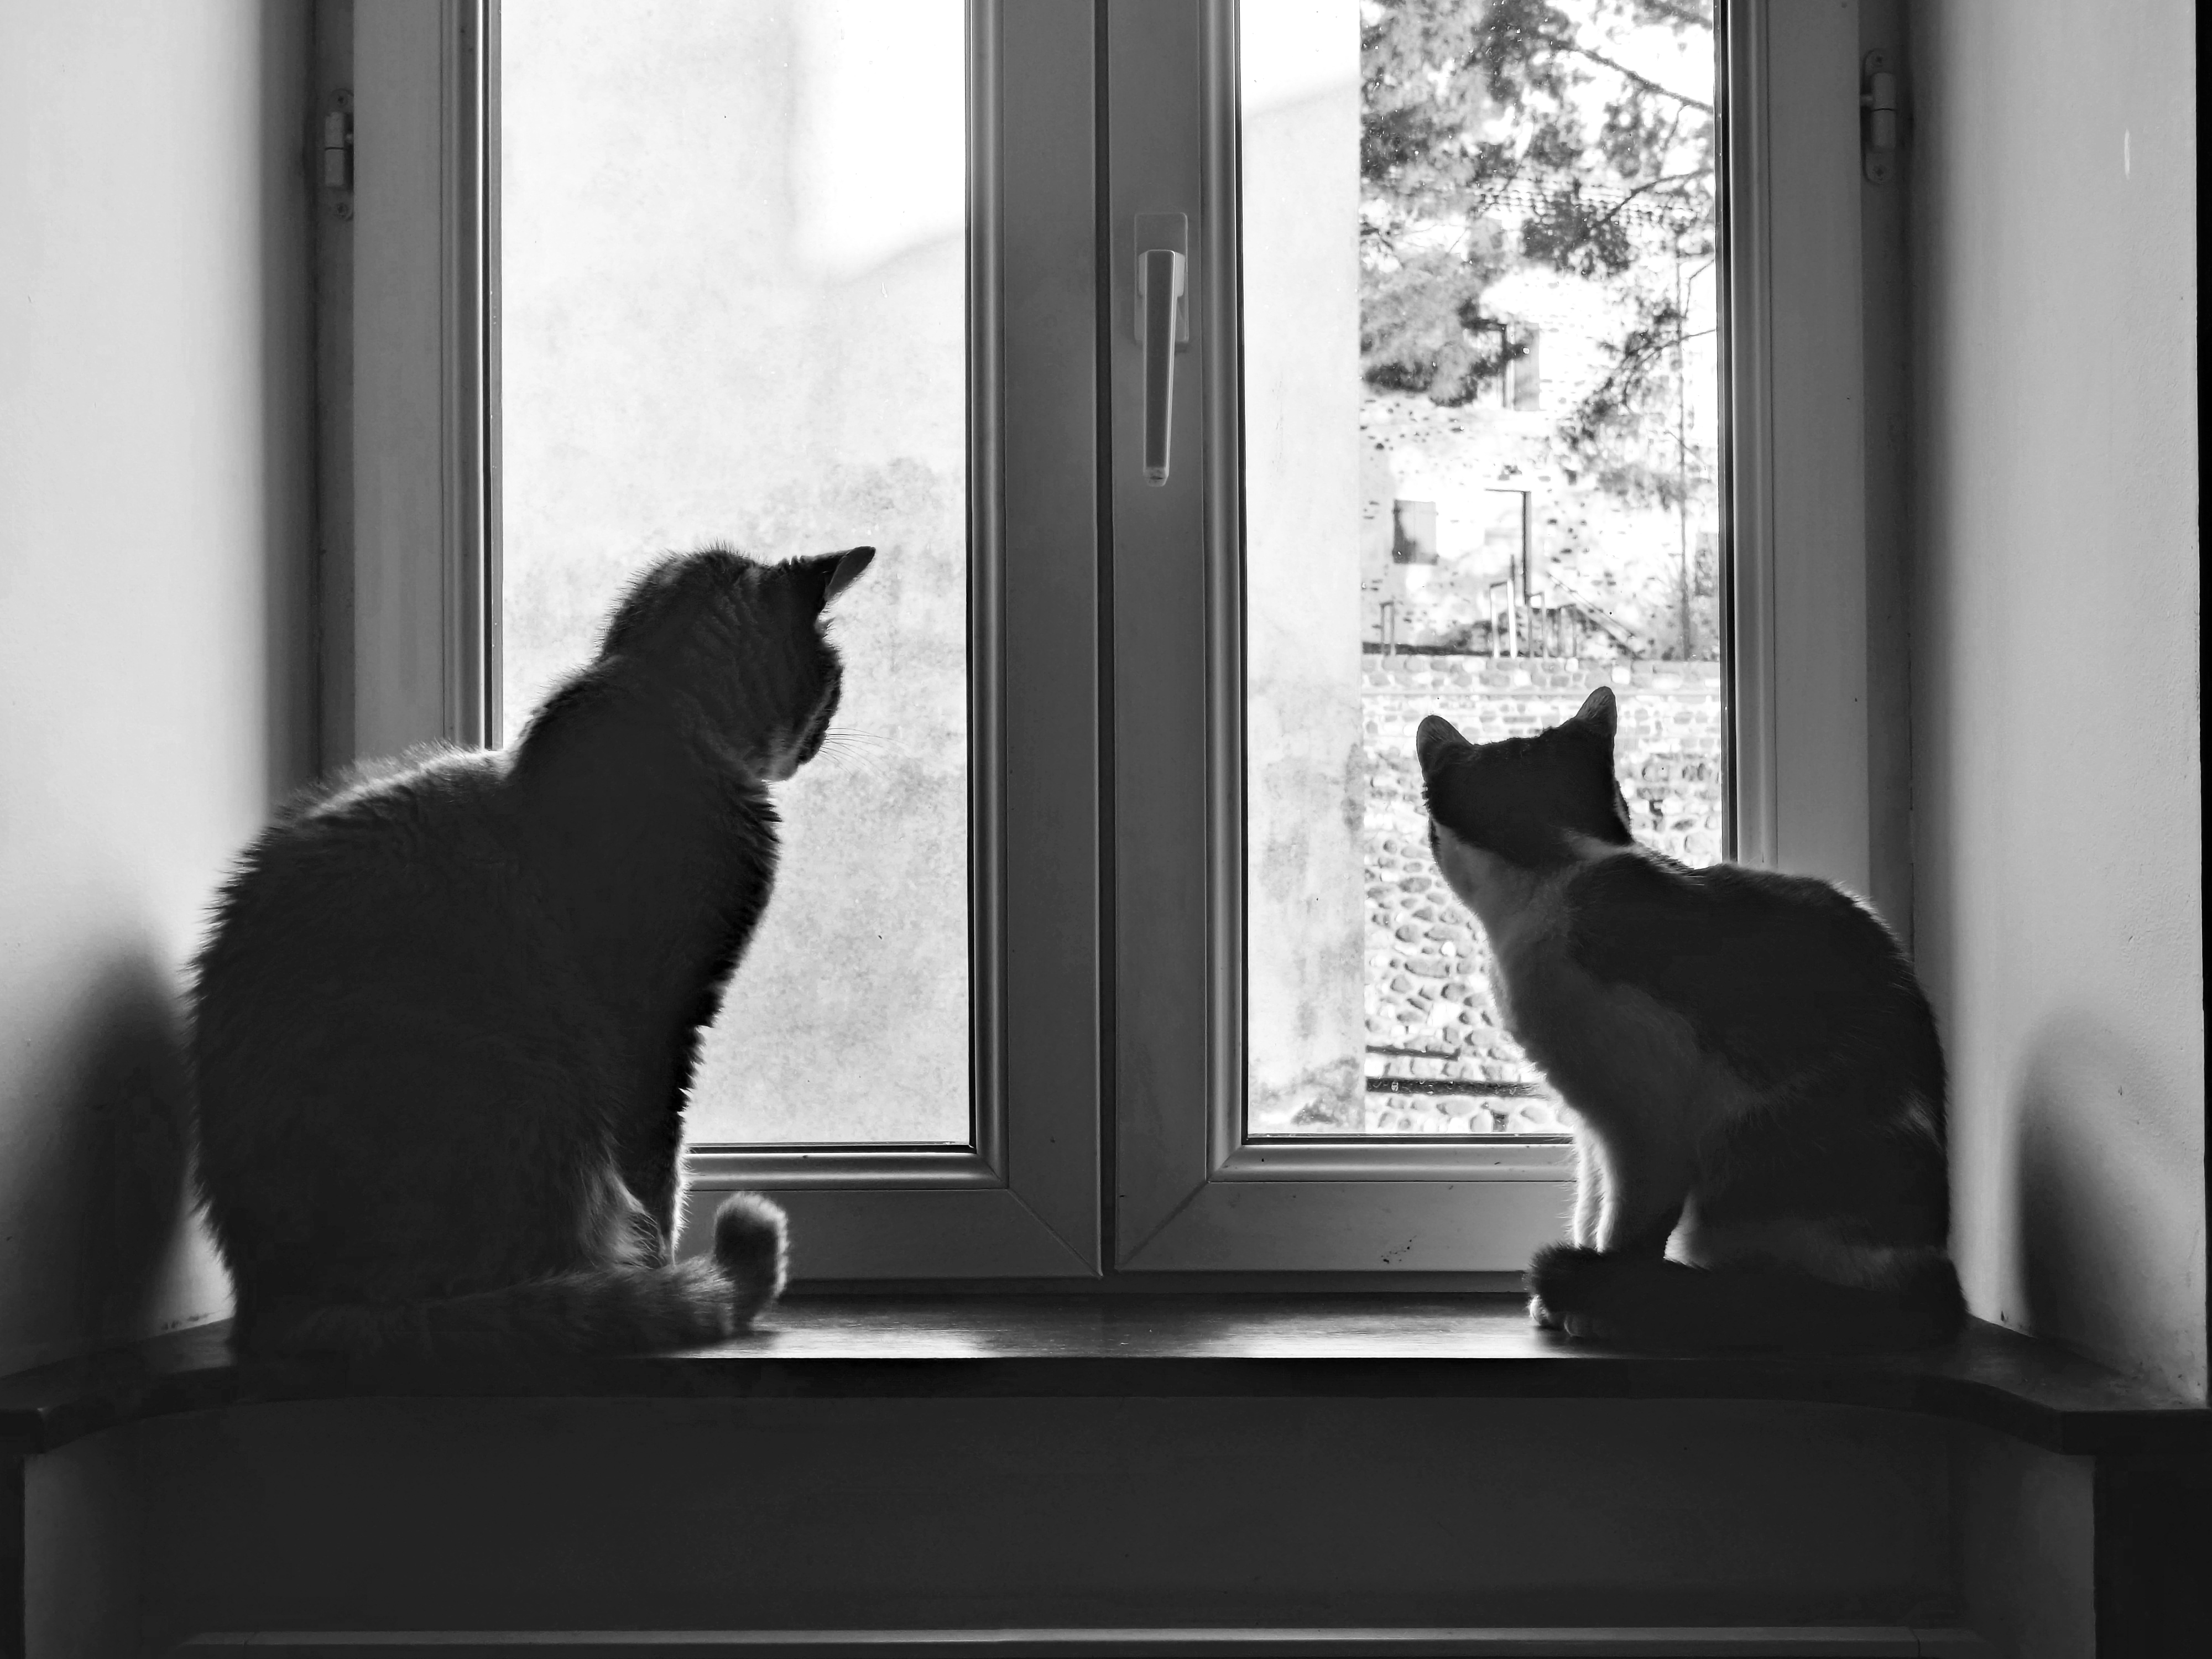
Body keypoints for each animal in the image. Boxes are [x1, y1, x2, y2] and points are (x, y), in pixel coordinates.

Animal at [190, 544, 875, 1358]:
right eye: (833, 683)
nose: (821, 740)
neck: (664, 708)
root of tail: (274, 1300)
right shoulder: (658, 1029)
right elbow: (659, 1176)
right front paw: (664, 1270)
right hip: (534, 1094)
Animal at [1417, 685, 1963, 1351]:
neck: (1560, 868)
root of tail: (1933, 1284)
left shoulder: (1644, 1124)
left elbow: (1626, 1226)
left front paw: (1601, 1300)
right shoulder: (1590, 1123)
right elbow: (1590, 1206)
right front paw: (1569, 1294)